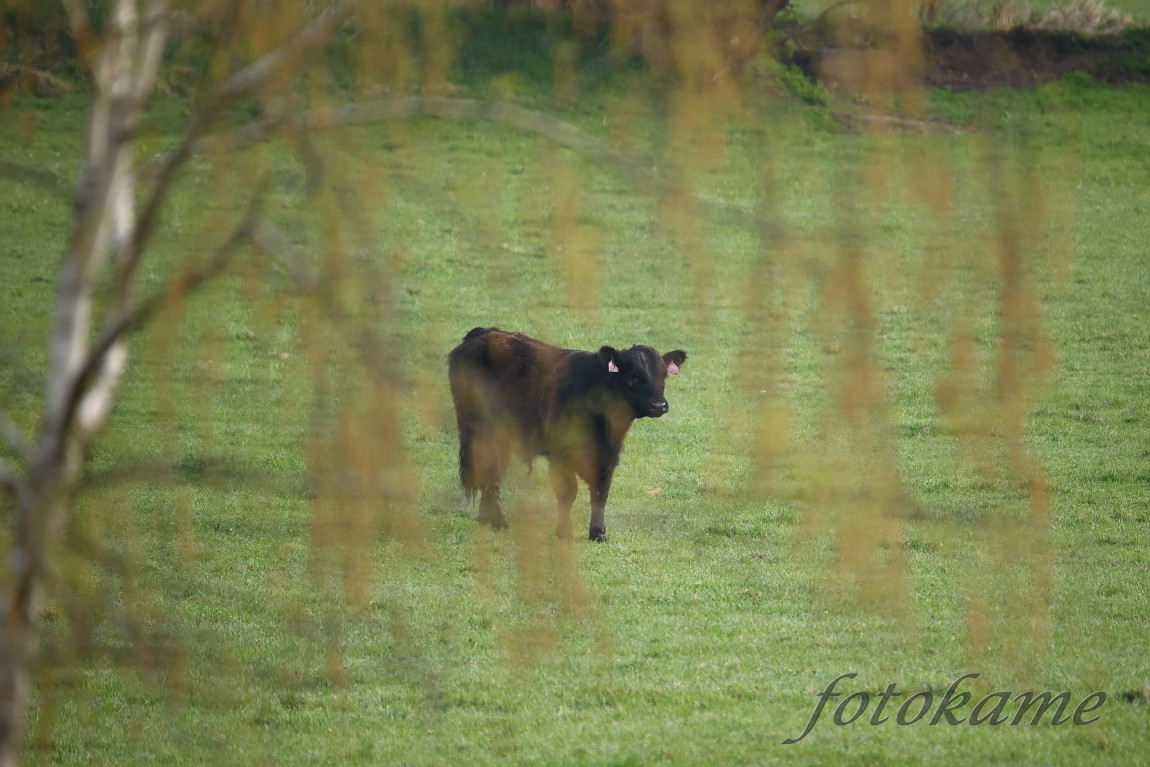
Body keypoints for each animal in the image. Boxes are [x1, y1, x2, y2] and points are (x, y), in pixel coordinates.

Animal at [446, 326, 680, 542]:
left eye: (663, 377)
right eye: (632, 378)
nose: (659, 405)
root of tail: (484, 332)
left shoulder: (607, 457)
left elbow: (600, 494)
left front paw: (598, 532)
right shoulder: (561, 455)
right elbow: (568, 493)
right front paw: (564, 531)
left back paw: (486, 518)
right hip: (484, 430)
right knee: (490, 473)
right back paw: (499, 521)